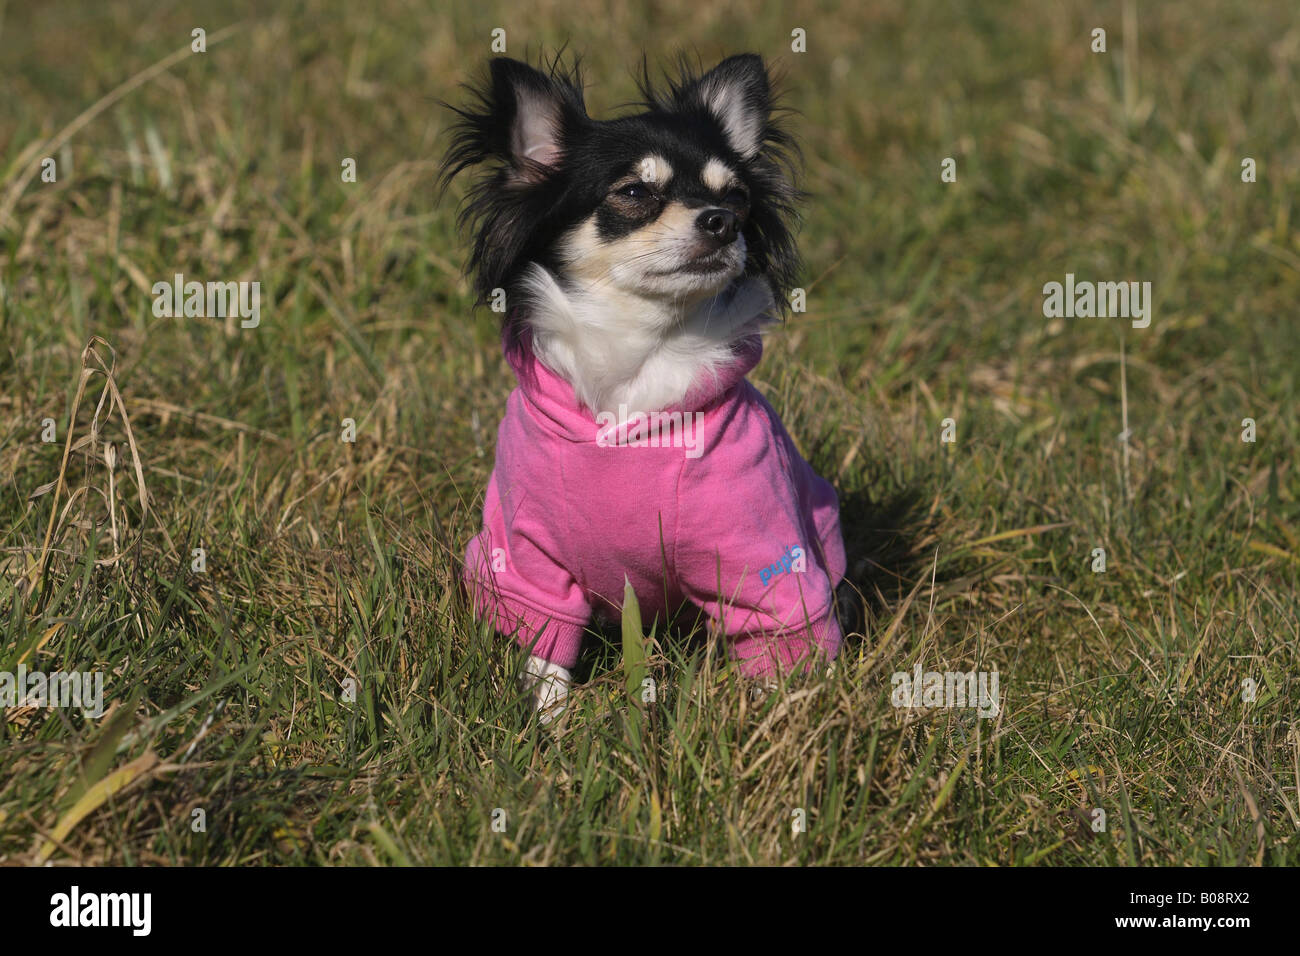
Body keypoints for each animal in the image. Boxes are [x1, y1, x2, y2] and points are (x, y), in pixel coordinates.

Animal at [447, 52, 847, 723]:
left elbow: (776, 641)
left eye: (737, 197)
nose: (722, 221)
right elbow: (546, 647)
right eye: (635, 192)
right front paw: (551, 727)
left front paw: (779, 723)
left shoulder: (762, 552)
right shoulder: (530, 557)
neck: (640, 353)